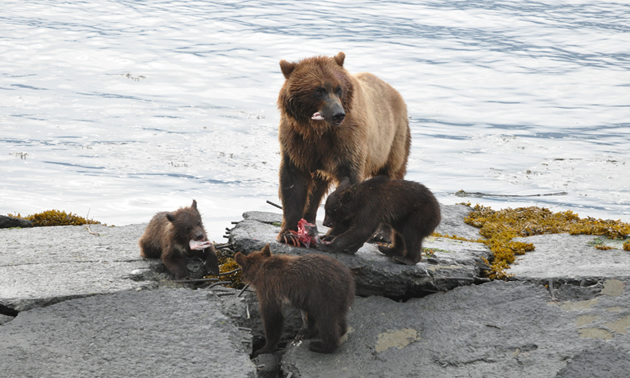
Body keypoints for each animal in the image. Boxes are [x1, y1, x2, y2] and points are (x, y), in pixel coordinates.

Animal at [276, 51, 410, 245]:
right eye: (319, 90)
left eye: (338, 89)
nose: (338, 114)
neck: (318, 130)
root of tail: (395, 92)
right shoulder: (298, 143)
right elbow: (293, 182)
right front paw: (289, 234)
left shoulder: (347, 142)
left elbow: (349, 181)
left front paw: (333, 233)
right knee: (317, 188)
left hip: (394, 139)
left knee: (392, 175)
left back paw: (382, 234)